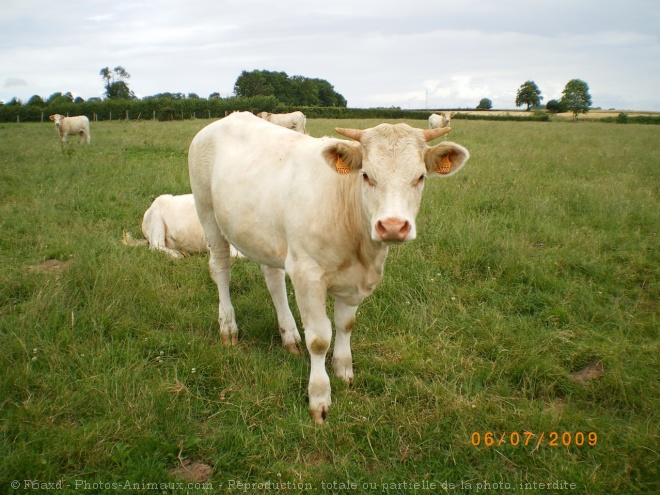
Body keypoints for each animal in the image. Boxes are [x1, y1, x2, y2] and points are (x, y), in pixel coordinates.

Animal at [188, 113, 472, 426]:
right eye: (366, 175)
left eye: (420, 177)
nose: (393, 226)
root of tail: (228, 117)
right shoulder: (307, 273)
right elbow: (319, 339)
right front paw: (319, 397)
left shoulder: (354, 280)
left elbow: (345, 324)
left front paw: (343, 369)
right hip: (207, 212)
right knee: (220, 268)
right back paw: (228, 327)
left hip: (265, 234)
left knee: (273, 277)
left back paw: (289, 334)